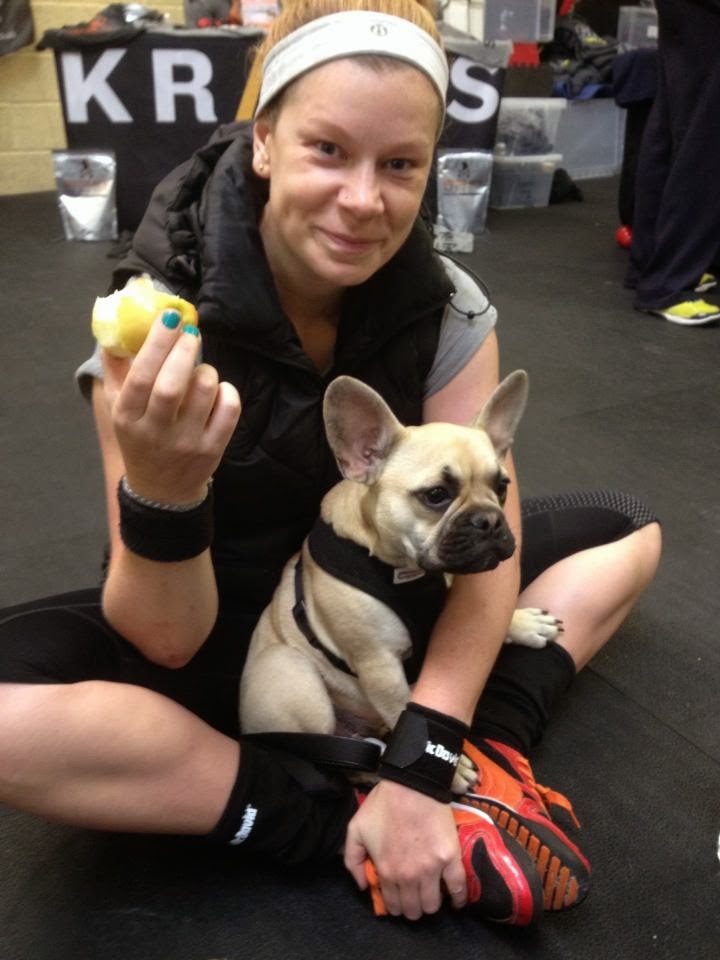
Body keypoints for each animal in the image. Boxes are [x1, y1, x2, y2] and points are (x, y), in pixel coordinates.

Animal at [239, 371, 560, 792]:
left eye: (502, 487)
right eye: (436, 495)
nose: (489, 520)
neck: (408, 572)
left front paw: (523, 622)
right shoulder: (381, 667)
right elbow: (404, 709)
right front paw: (447, 767)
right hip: (296, 677)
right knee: (339, 761)